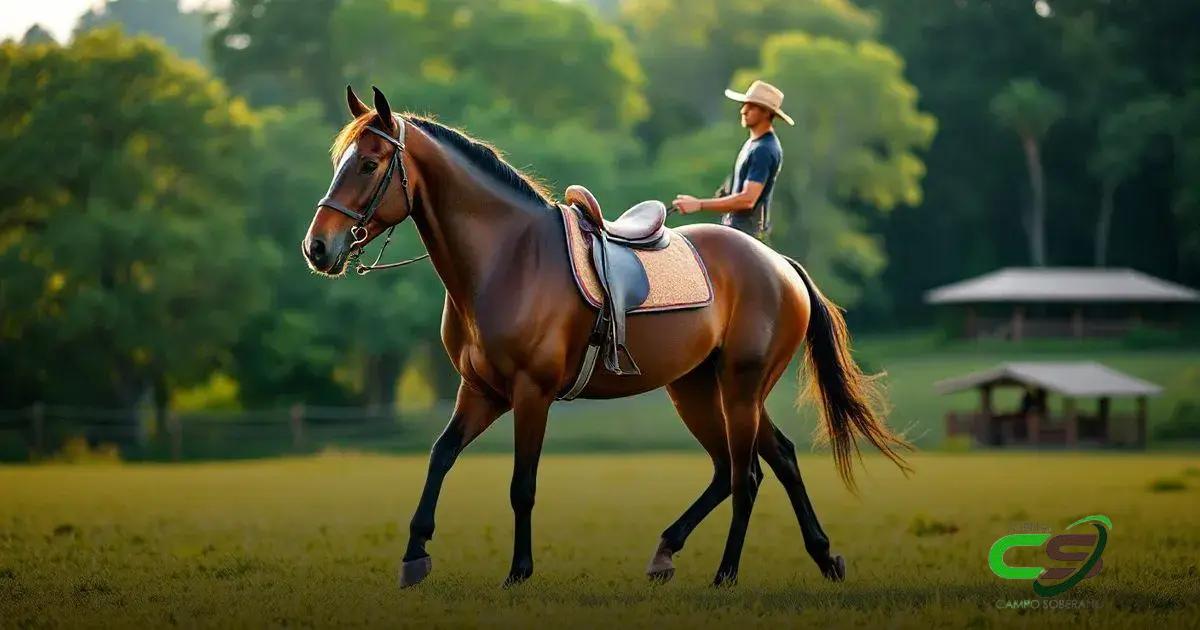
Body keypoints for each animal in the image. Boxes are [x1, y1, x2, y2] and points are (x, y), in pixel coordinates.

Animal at [302, 86, 911, 588]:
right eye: (337, 162)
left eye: (370, 163)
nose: (318, 248)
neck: (509, 258)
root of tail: (779, 265)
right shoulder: (481, 390)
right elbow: (440, 455)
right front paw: (414, 556)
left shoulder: (531, 393)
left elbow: (522, 484)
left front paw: (519, 572)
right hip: (696, 388)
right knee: (758, 462)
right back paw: (778, 554)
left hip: (740, 389)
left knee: (748, 475)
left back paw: (725, 574)